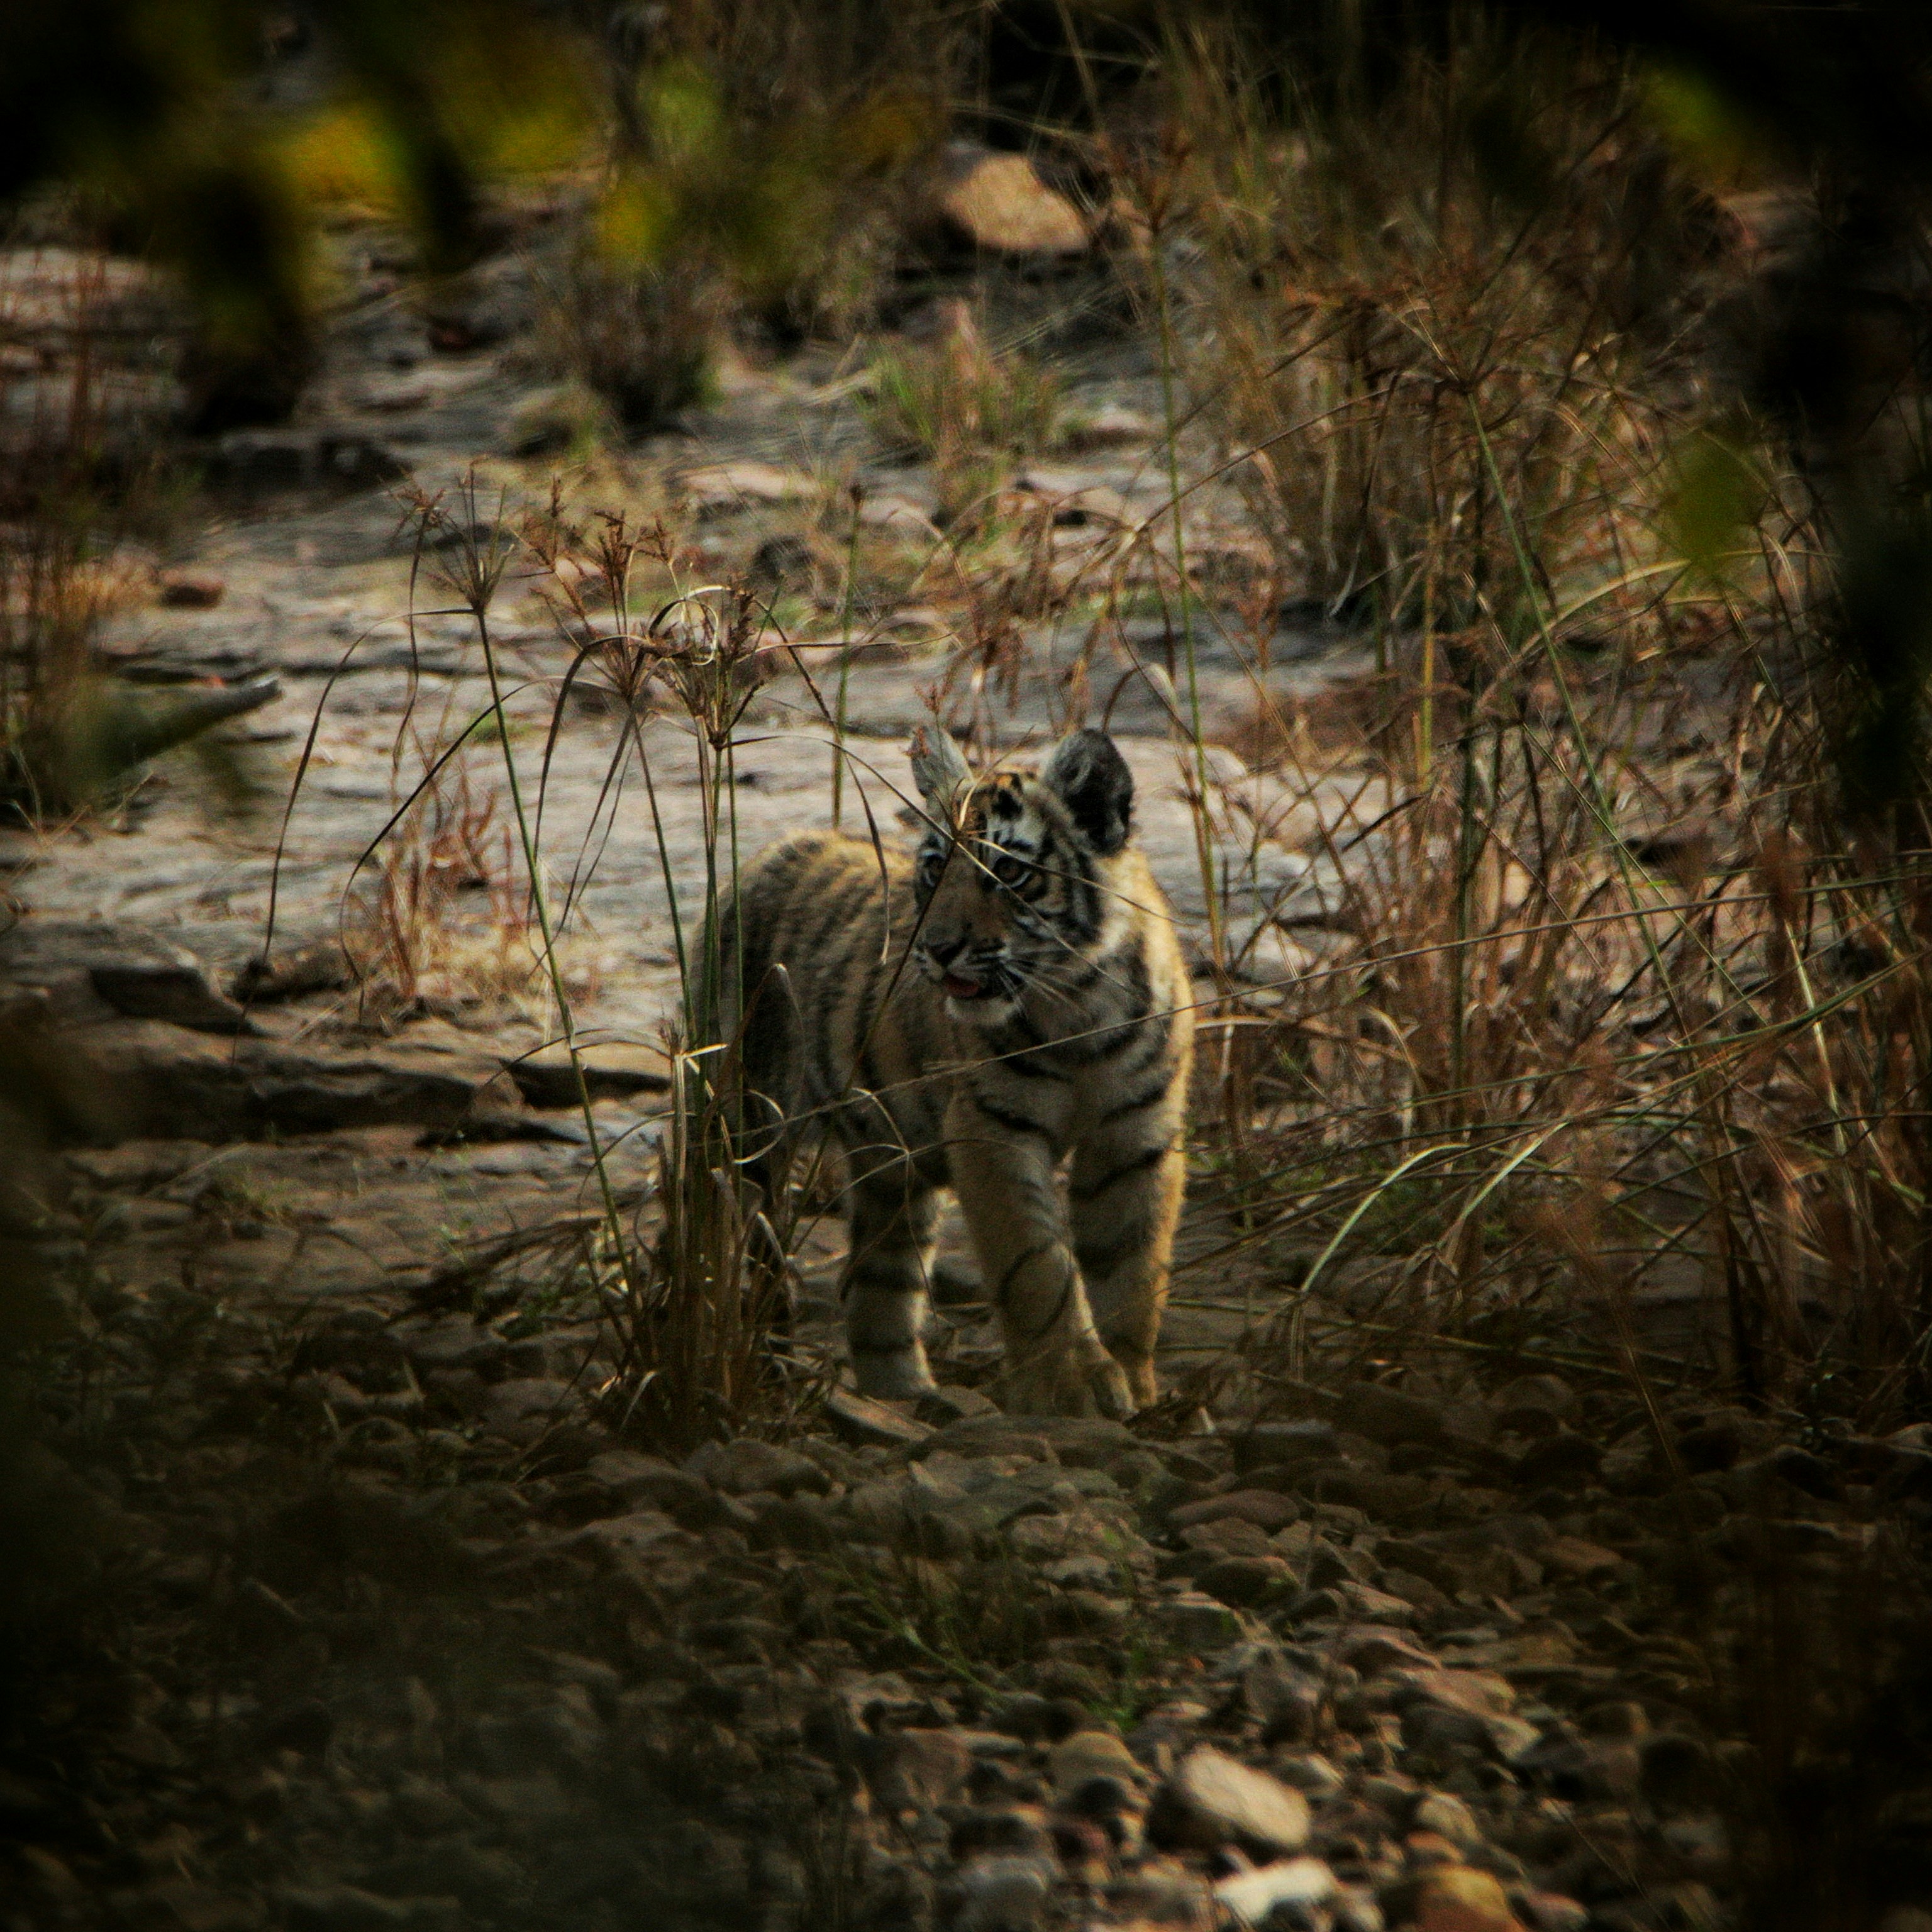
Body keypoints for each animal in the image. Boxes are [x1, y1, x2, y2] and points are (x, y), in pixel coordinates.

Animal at [715, 724, 1194, 1418]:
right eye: (935, 868)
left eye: (1010, 871)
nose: (938, 949)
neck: (1079, 1008)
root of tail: (773, 850)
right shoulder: (992, 1128)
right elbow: (1037, 1266)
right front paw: (1071, 1391)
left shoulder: (1136, 1135)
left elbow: (1132, 1272)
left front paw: (1136, 1387)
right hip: (745, 1123)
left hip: (892, 1167)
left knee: (881, 1279)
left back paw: (901, 1394)